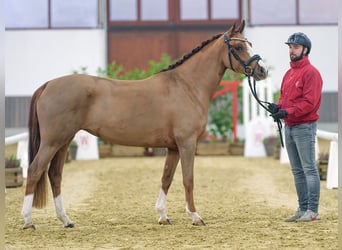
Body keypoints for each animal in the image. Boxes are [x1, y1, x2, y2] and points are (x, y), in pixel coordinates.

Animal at [21, 20, 268, 229]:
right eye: (238, 47)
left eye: (249, 44)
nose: (262, 71)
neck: (186, 86)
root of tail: (48, 85)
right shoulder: (187, 143)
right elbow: (188, 179)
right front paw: (195, 216)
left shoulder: (173, 147)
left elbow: (166, 178)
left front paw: (163, 216)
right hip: (52, 141)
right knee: (34, 171)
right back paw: (28, 221)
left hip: (63, 142)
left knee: (55, 175)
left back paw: (66, 220)